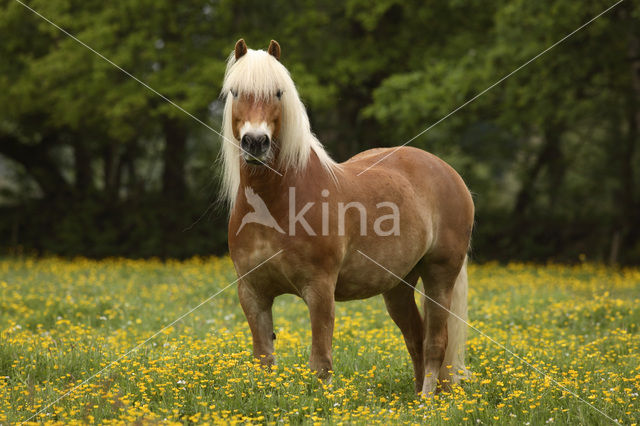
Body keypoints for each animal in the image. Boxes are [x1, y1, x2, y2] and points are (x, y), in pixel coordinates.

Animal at [222, 40, 472, 396]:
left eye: (279, 93)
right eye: (235, 92)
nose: (255, 143)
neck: (278, 202)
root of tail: (448, 172)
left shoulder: (320, 289)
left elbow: (320, 362)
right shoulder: (253, 293)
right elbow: (264, 360)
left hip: (440, 274)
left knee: (436, 342)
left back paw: (426, 401)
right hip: (398, 286)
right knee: (416, 338)